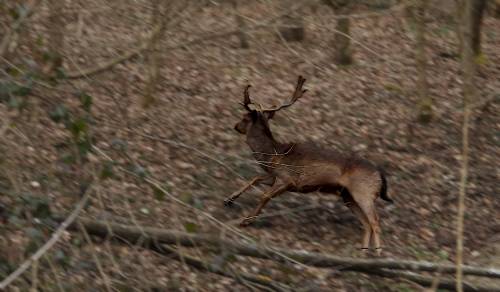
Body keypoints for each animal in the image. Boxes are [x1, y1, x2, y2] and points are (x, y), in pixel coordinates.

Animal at [225, 76, 392, 256]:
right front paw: (229, 200)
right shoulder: (274, 176)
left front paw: (245, 220)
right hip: (347, 196)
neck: (273, 154)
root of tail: (380, 175)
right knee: (366, 223)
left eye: (245, 118)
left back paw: (378, 254)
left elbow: (264, 196)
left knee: (375, 221)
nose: (235, 126)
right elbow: (255, 178)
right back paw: (363, 253)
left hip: (364, 192)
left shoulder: (288, 179)